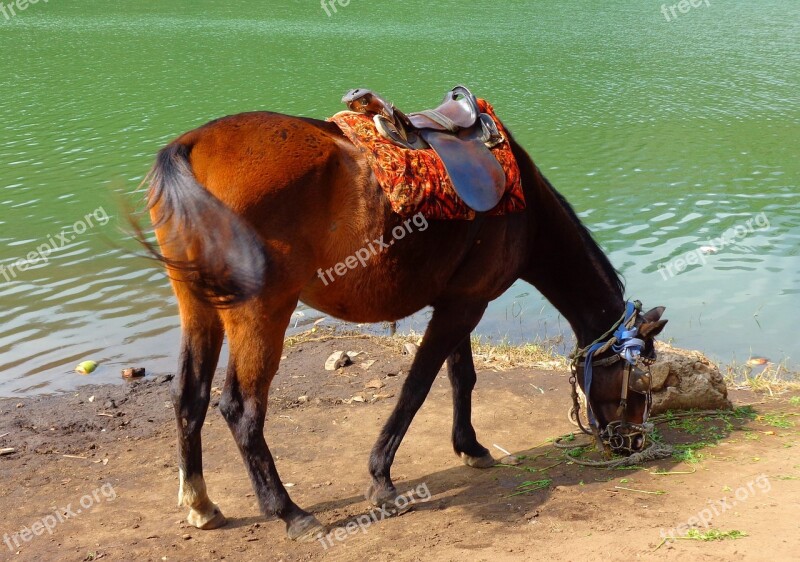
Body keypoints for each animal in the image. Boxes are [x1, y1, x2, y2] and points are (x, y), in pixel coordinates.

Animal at [141, 108, 664, 540]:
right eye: (639, 385)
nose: (635, 443)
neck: (526, 209)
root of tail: (190, 145)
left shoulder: (460, 300)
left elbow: (461, 376)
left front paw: (470, 446)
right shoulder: (463, 306)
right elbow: (417, 387)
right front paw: (382, 481)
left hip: (198, 305)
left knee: (189, 396)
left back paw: (201, 504)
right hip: (261, 312)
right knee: (241, 410)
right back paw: (291, 513)